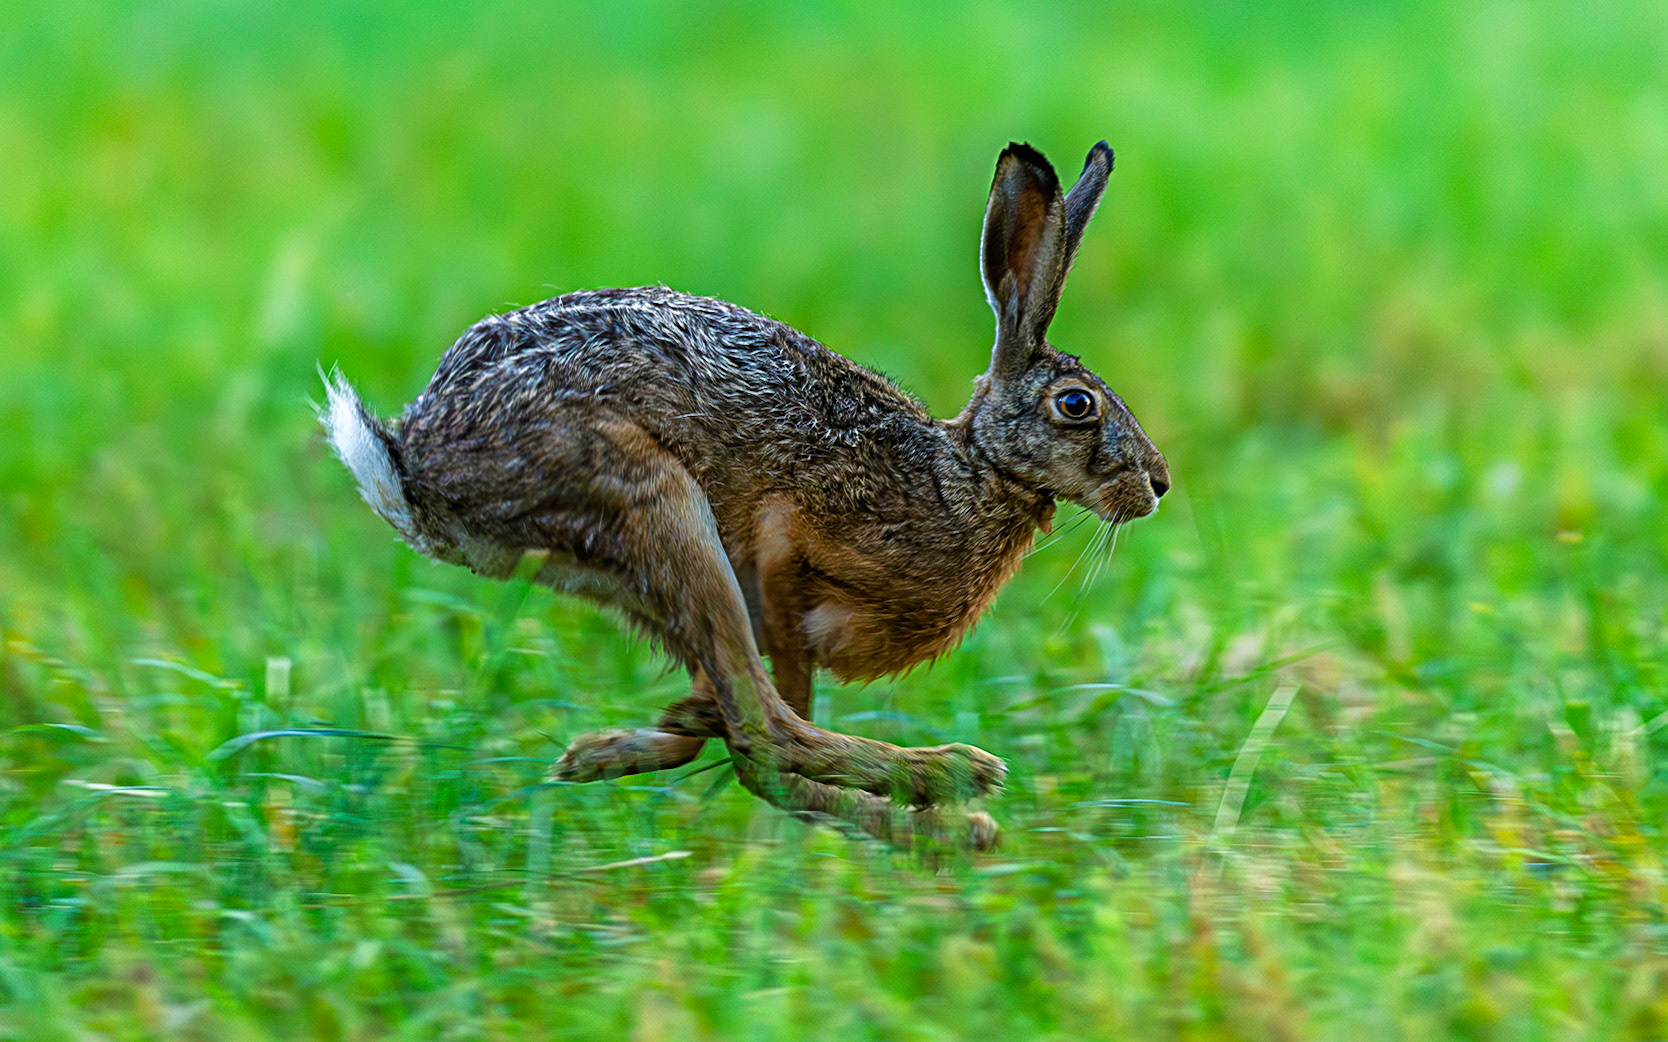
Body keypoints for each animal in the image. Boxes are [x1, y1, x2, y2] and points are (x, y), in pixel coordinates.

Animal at [322, 140, 1168, 851]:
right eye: (1077, 405)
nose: (1157, 485)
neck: (970, 470)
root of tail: (420, 472)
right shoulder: (784, 551)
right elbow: (779, 702)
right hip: (659, 507)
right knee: (765, 735)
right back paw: (955, 794)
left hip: (636, 574)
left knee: (738, 729)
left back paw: (602, 753)